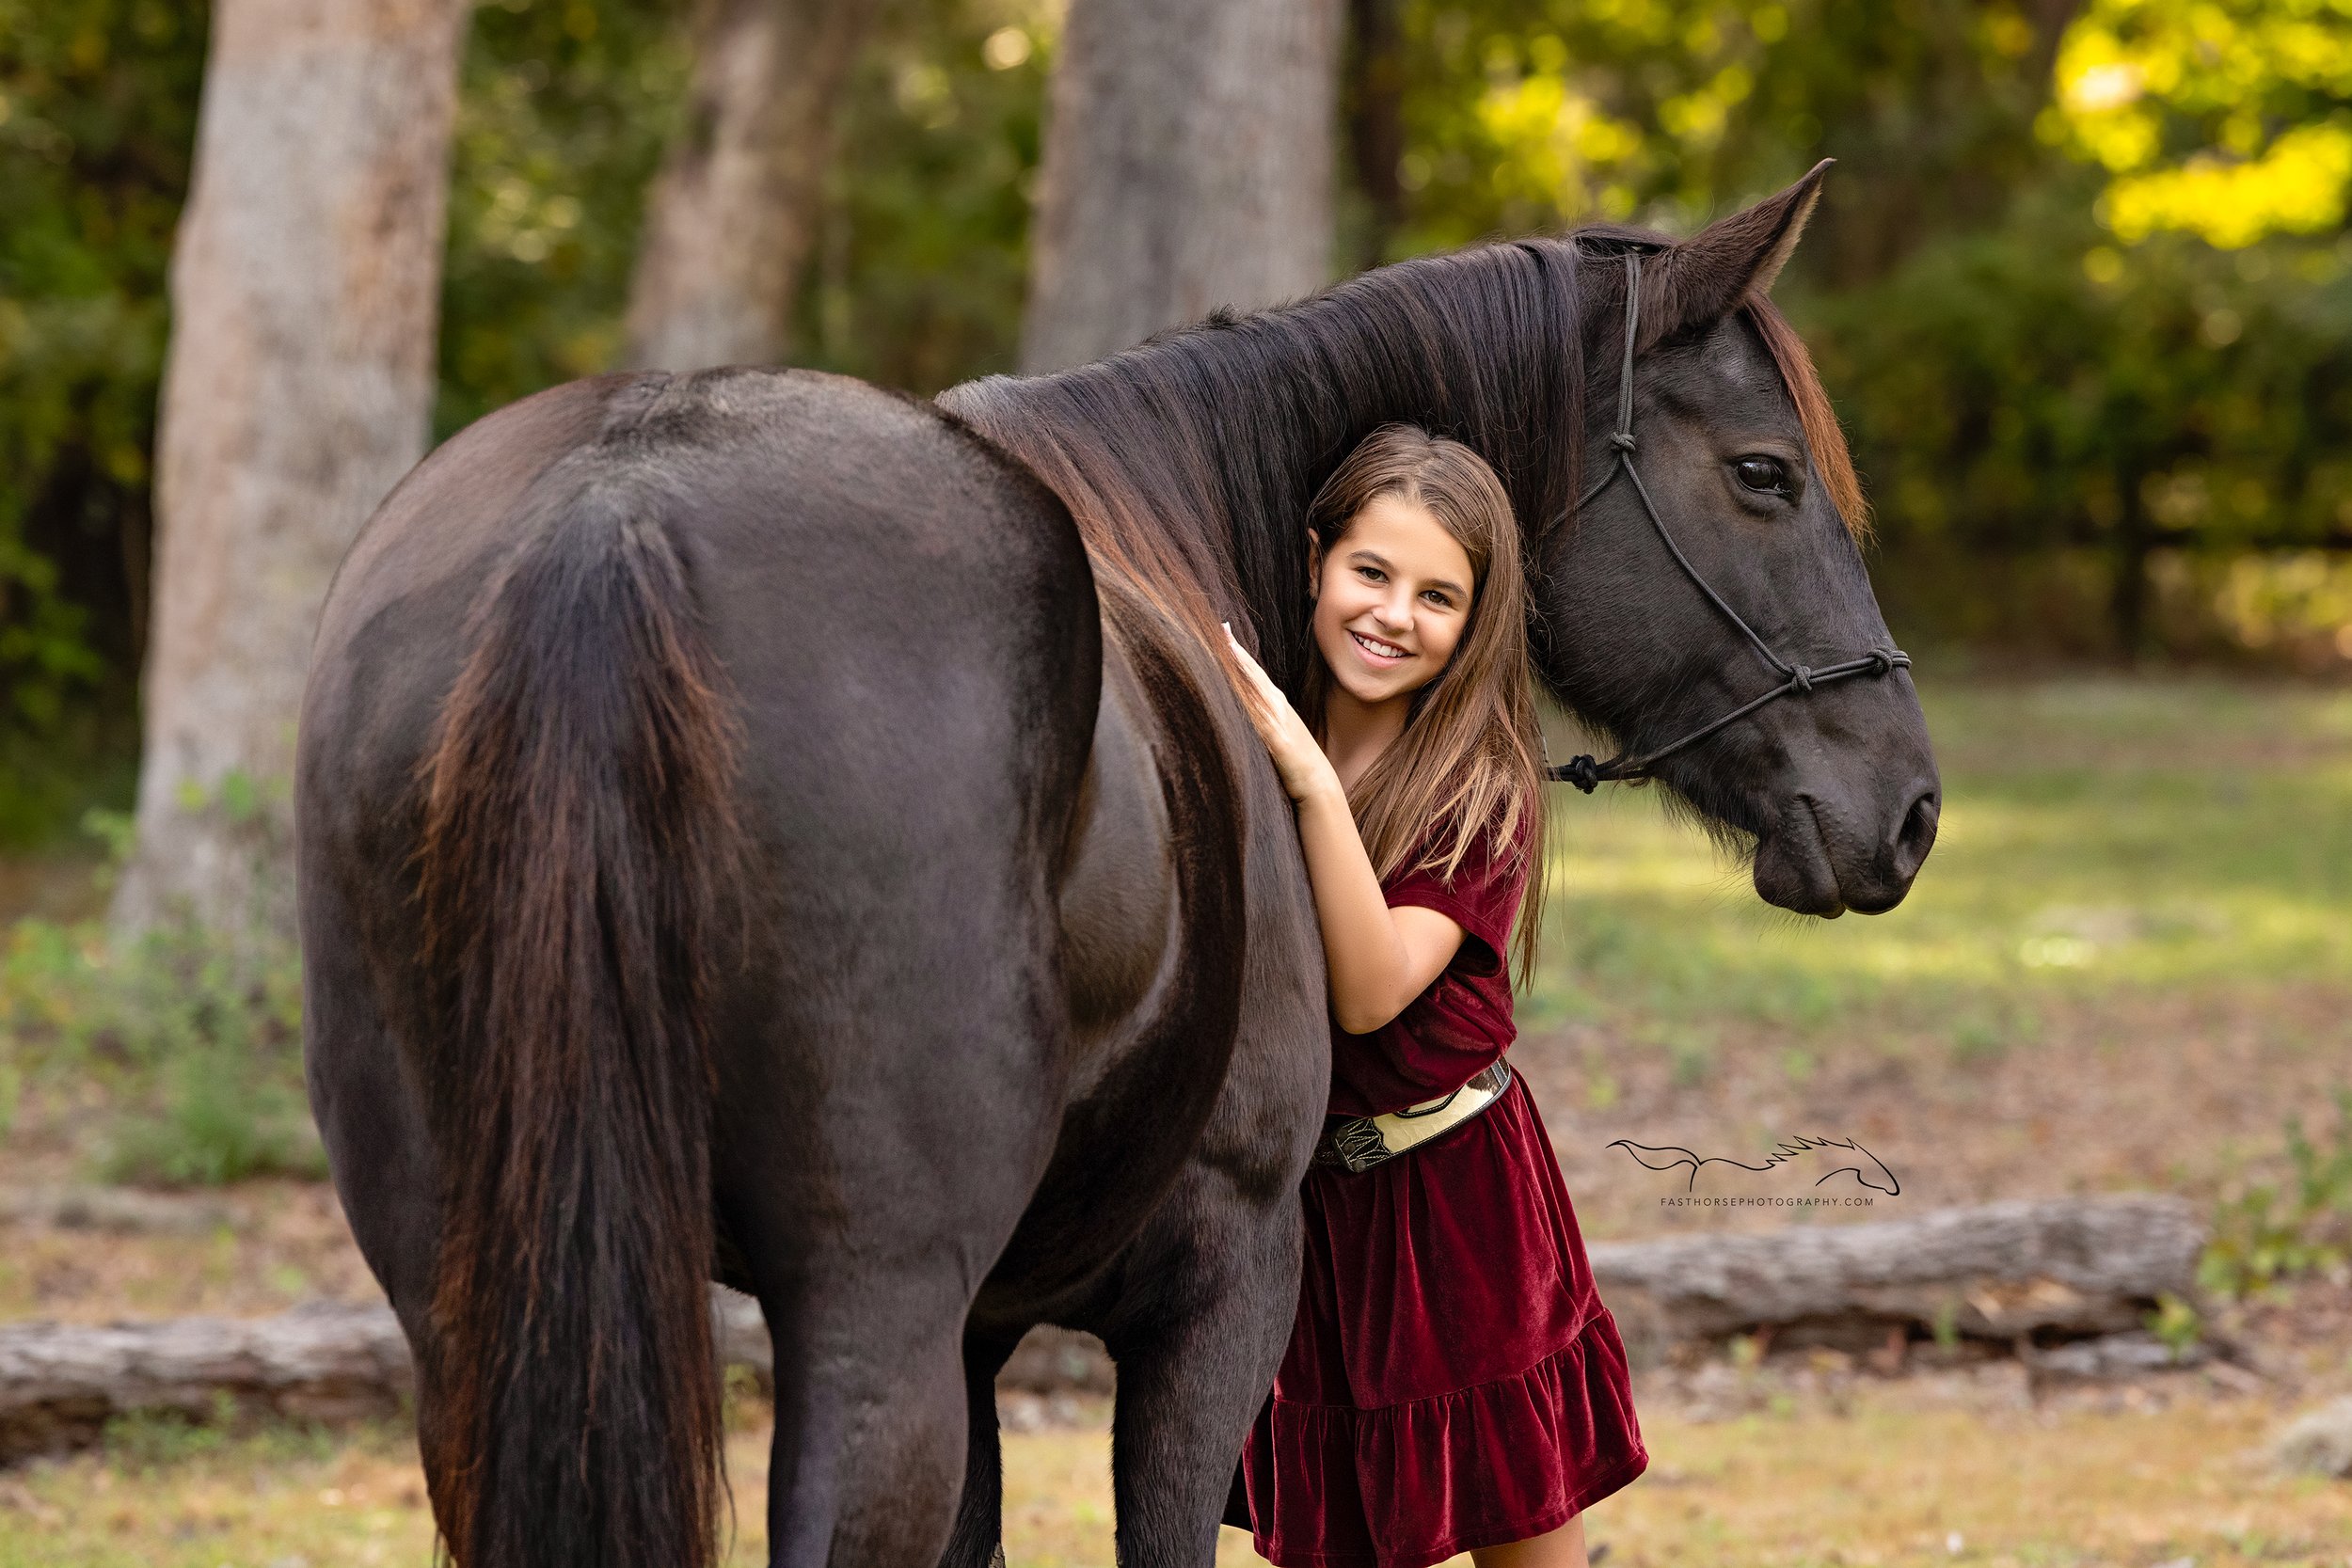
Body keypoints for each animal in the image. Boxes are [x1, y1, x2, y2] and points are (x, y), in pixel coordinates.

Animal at [295, 162, 1937, 1568]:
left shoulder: (981, 1330)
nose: (1911, 804)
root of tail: (615, 520)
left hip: (481, 1307)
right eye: (1765, 474)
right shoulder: (1216, 1290)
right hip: (868, 1316)